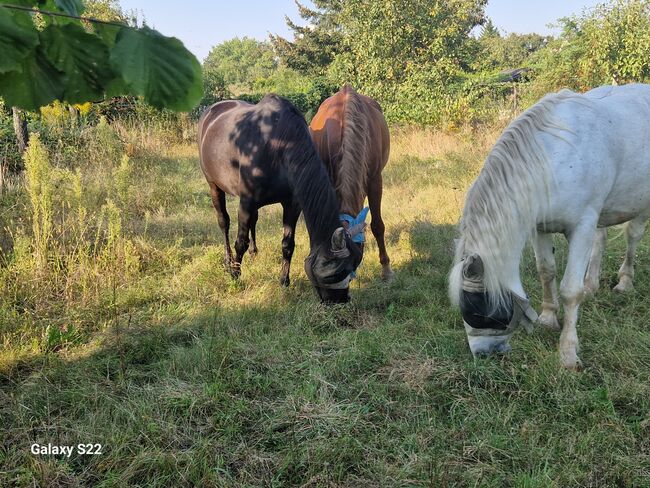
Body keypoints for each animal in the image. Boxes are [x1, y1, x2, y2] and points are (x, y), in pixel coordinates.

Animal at [196, 93, 360, 304]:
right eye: (336, 272)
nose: (341, 300)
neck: (278, 144)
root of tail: (210, 111)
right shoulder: (246, 202)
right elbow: (240, 241)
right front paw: (235, 275)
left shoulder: (292, 205)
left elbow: (287, 244)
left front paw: (284, 280)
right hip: (214, 185)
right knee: (224, 222)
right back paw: (228, 260)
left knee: (254, 221)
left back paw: (254, 252)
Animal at [448, 84, 648, 370]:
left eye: (477, 309)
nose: (483, 354)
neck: (551, 159)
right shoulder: (540, 228)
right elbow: (546, 271)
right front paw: (548, 319)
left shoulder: (581, 227)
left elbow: (571, 291)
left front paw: (568, 352)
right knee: (601, 240)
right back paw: (592, 284)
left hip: (640, 205)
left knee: (633, 237)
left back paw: (624, 281)